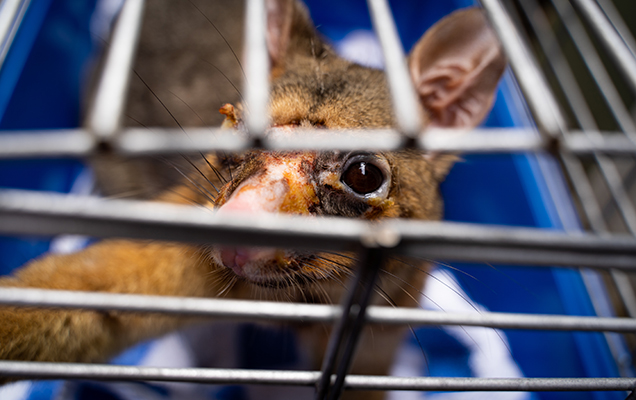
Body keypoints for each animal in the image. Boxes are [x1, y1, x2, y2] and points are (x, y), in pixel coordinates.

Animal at [0, 0, 506, 399]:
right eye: (235, 128)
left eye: (364, 176)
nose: (238, 217)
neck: (300, 298)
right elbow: (90, 286)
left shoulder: (390, 306)